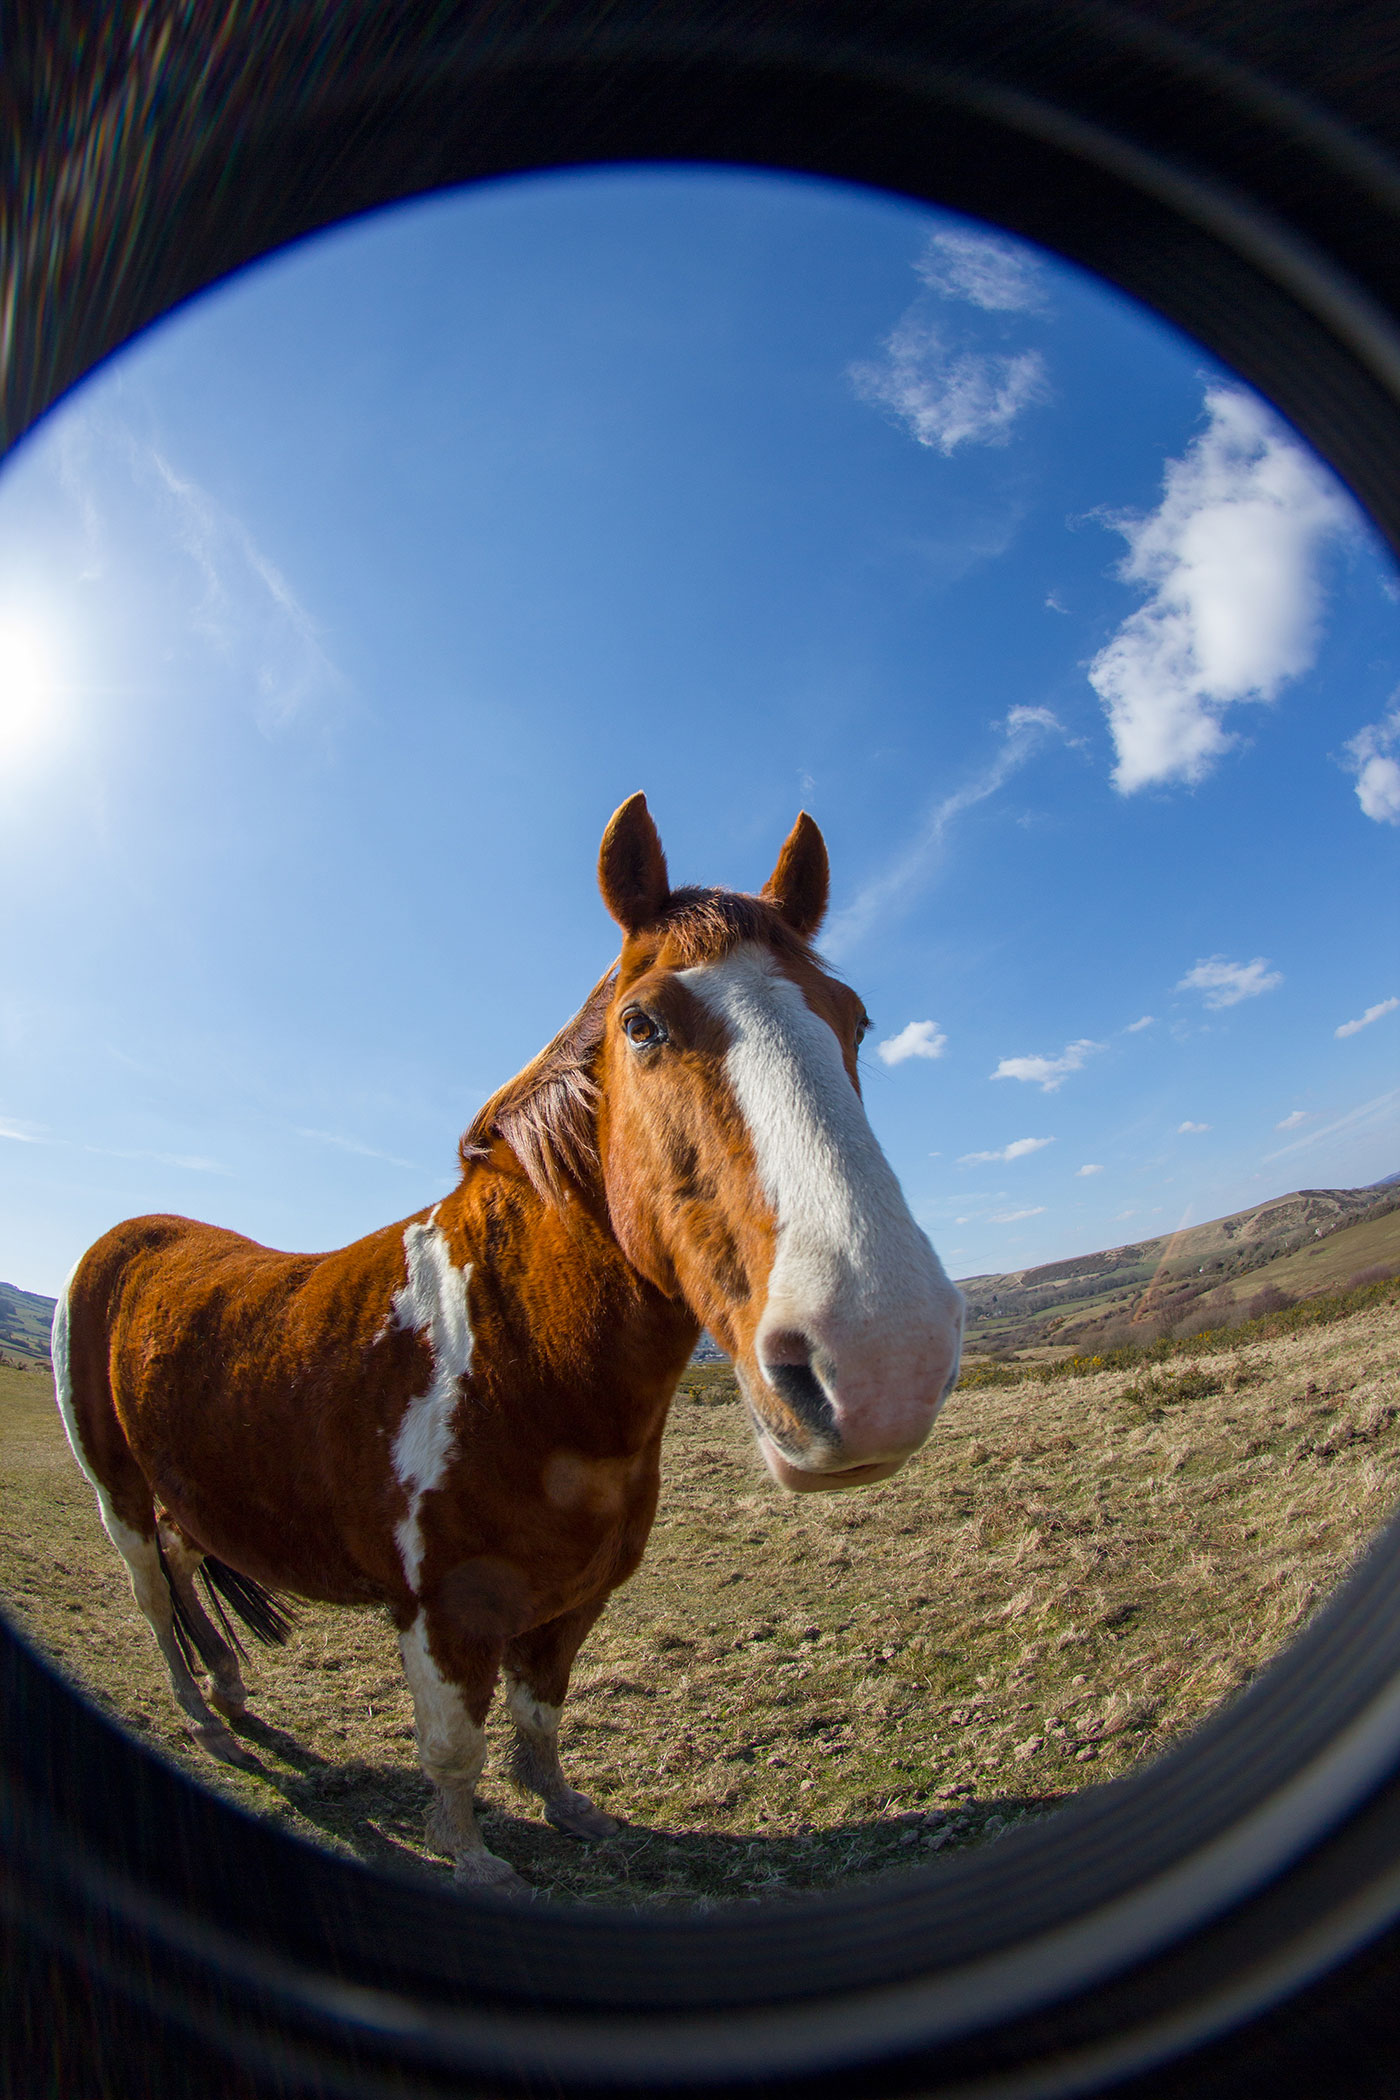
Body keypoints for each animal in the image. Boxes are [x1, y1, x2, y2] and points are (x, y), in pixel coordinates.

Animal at [52, 794, 965, 1889]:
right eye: (641, 1024)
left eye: (856, 1019)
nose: (882, 1363)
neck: (515, 1364)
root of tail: (125, 1237)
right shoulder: (441, 1616)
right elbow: (454, 1749)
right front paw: (473, 1859)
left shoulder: (571, 1603)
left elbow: (540, 1718)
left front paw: (568, 1810)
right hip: (116, 1494)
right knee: (152, 1594)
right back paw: (204, 1719)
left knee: (189, 1565)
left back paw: (231, 1692)